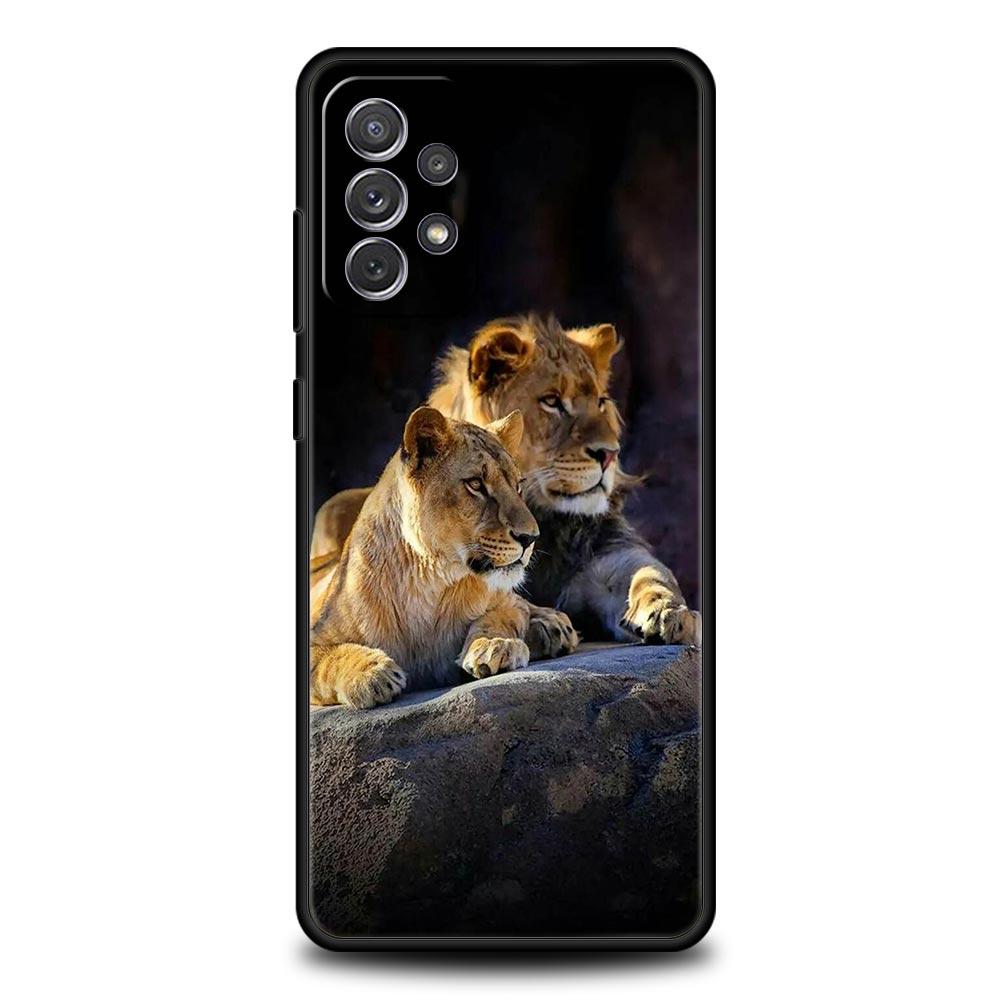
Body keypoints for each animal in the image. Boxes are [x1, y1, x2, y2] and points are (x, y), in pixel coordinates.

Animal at [310, 406, 542, 708]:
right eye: (475, 484)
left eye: (518, 485)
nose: (531, 538)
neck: (428, 580)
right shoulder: (316, 638)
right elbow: (332, 658)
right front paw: (372, 673)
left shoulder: (508, 603)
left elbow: (503, 617)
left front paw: (497, 646)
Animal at [312, 315, 700, 648]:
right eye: (551, 401)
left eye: (601, 402)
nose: (609, 454)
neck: (547, 517)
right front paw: (542, 620)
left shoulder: (608, 556)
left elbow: (650, 573)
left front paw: (668, 611)